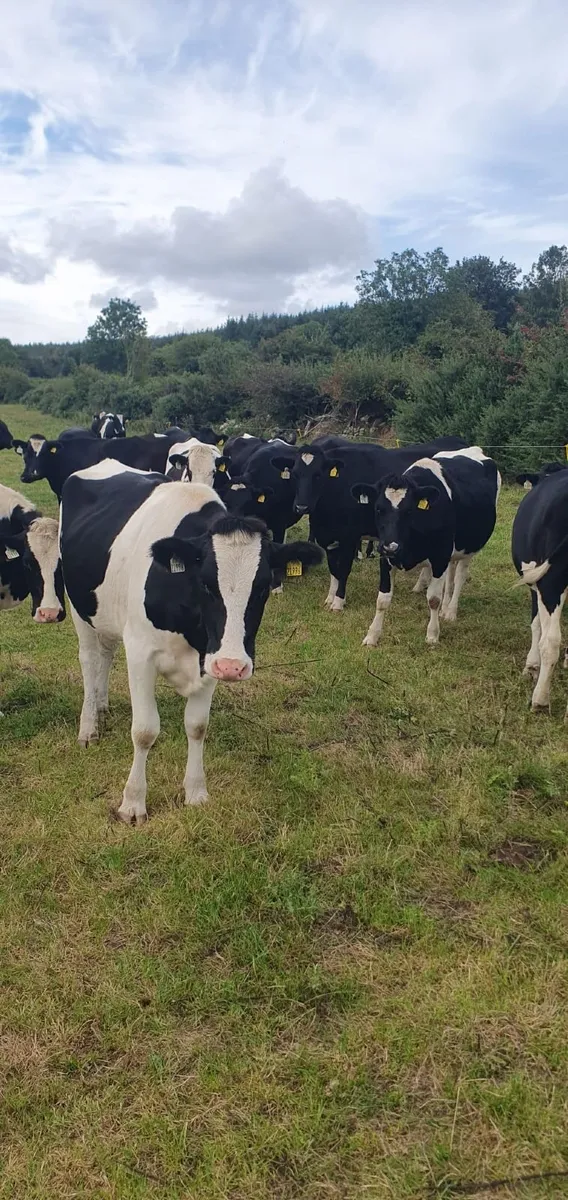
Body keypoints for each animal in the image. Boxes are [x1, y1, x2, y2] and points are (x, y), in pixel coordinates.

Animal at [59, 460, 322, 824]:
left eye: (263, 587)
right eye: (206, 583)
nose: (234, 666)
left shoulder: (209, 658)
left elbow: (197, 726)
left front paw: (196, 793)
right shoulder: (141, 652)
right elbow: (144, 730)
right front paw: (133, 803)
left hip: (108, 612)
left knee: (106, 653)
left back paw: (101, 704)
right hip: (79, 605)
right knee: (89, 659)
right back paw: (88, 727)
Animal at [290, 436, 467, 612]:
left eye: (317, 475)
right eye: (295, 474)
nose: (301, 507)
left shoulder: (349, 537)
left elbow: (343, 570)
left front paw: (338, 601)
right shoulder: (329, 537)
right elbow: (334, 569)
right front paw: (330, 598)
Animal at [358, 446, 500, 646]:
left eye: (409, 511)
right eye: (378, 509)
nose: (391, 547)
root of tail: (474, 449)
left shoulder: (439, 557)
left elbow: (433, 598)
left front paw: (432, 635)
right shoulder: (386, 557)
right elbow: (382, 599)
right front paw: (372, 636)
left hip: (469, 548)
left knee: (460, 576)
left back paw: (451, 611)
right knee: (450, 575)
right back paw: (445, 609)